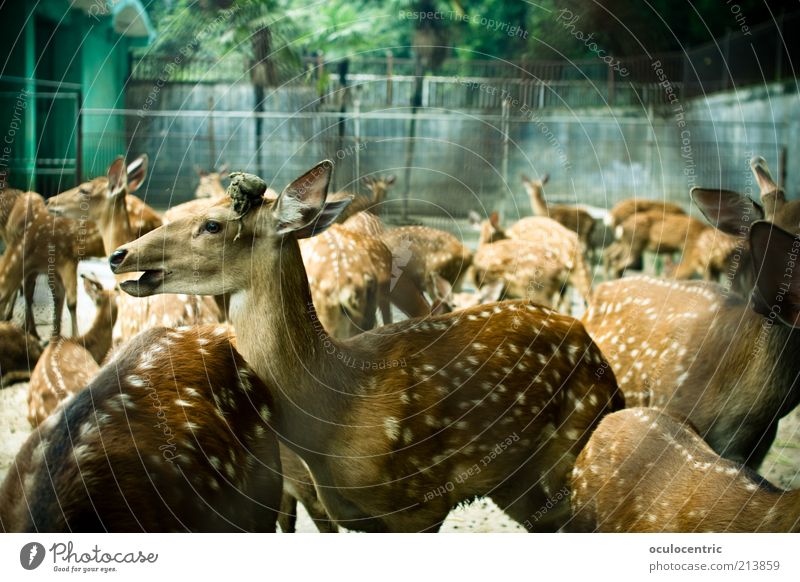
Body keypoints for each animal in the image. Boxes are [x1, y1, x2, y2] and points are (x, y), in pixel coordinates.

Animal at [108, 161, 624, 532]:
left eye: (213, 225)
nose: (118, 255)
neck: (335, 413)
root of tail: (605, 365)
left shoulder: (419, 503)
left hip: (571, 445)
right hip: (517, 483)